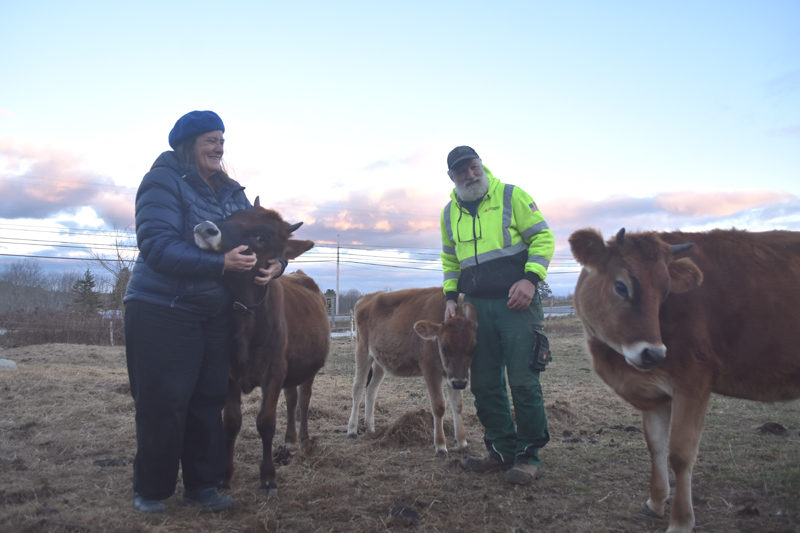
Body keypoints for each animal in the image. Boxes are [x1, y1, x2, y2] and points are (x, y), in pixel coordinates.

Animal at [194, 200, 328, 494]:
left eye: (261, 237)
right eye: (232, 215)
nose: (204, 228)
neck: (248, 314)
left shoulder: (274, 371)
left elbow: (266, 422)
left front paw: (267, 476)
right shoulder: (229, 374)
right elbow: (231, 423)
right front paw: (225, 475)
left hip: (308, 370)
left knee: (303, 400)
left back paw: (303, 440)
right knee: (291, 398)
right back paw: (289, 440)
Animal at [568, 228, 800, 532]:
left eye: (665, 292)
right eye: (621, 286)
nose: (653, 353)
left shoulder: (693, 384)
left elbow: (680, 454)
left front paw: (680, 520)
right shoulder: (655, 397)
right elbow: (656, 446)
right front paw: (655, 502)